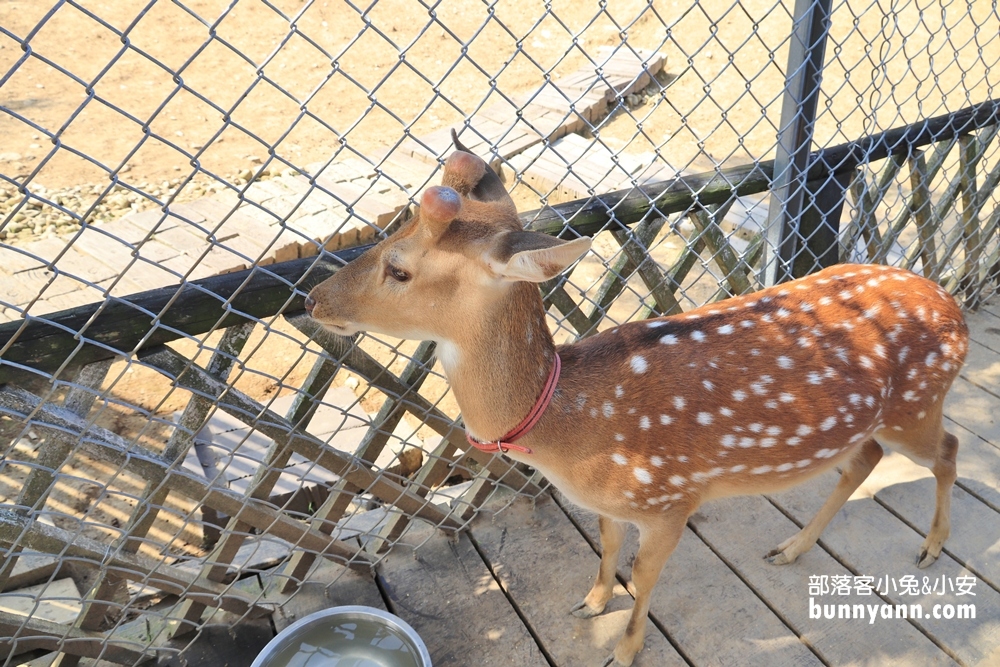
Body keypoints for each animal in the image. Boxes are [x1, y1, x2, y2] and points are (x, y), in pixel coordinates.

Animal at [304, 133, 968, 664]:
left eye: (398, 269)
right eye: (389, 235)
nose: (312, 298)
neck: (570, 432)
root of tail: (952, 304)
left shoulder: (672, 499)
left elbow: (645, 578)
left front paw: (624, 649)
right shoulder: (614, 503)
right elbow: (607, 547)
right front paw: (590, 603)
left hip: (917, 401)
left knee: (948, 448)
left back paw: (932, 548)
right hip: (869, 421)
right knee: (866, 459)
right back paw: (791, 548)